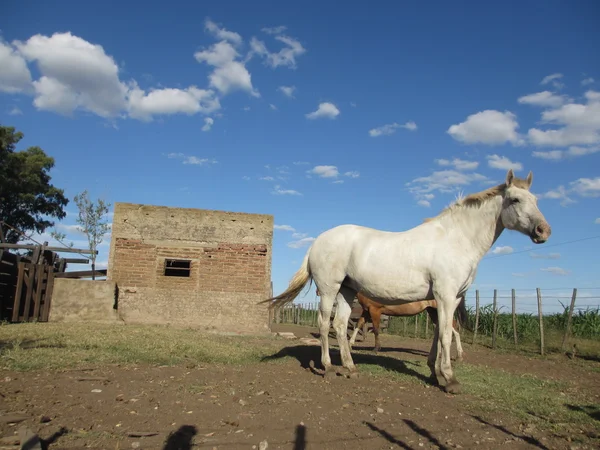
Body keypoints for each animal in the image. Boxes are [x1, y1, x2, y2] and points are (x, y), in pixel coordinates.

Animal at [260, 170, 552, 394]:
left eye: (536, 200)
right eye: (515, 199)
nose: (543, 231)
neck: (455, 239)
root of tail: (317, 241)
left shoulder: (449, 298)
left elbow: (440, 333)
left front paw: (437, 373)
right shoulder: (445, 296)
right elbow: (445, 335)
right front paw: (450, 379)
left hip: (347, 291)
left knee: (340, 325)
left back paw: (350, 368)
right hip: (330, 289)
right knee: (324, 324)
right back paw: (329, 368)